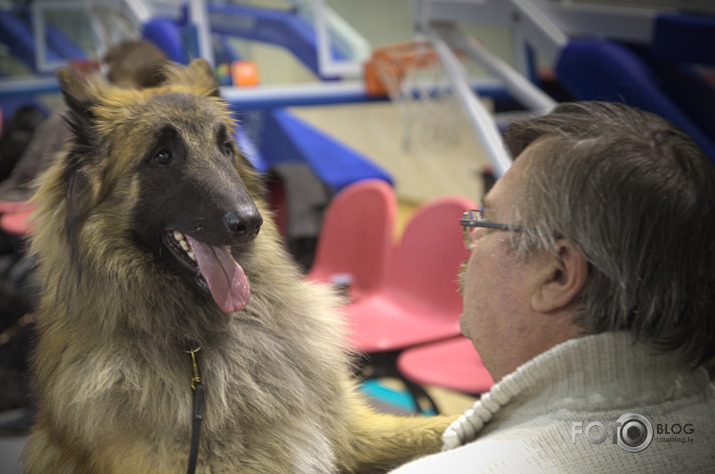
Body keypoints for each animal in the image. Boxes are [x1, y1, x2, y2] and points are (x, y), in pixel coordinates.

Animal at [25, 57, 456, 472]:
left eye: (226, 149)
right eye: (162, 156)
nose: (249, 223)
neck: (199, 347)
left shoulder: (352, 437)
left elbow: (441, 427)